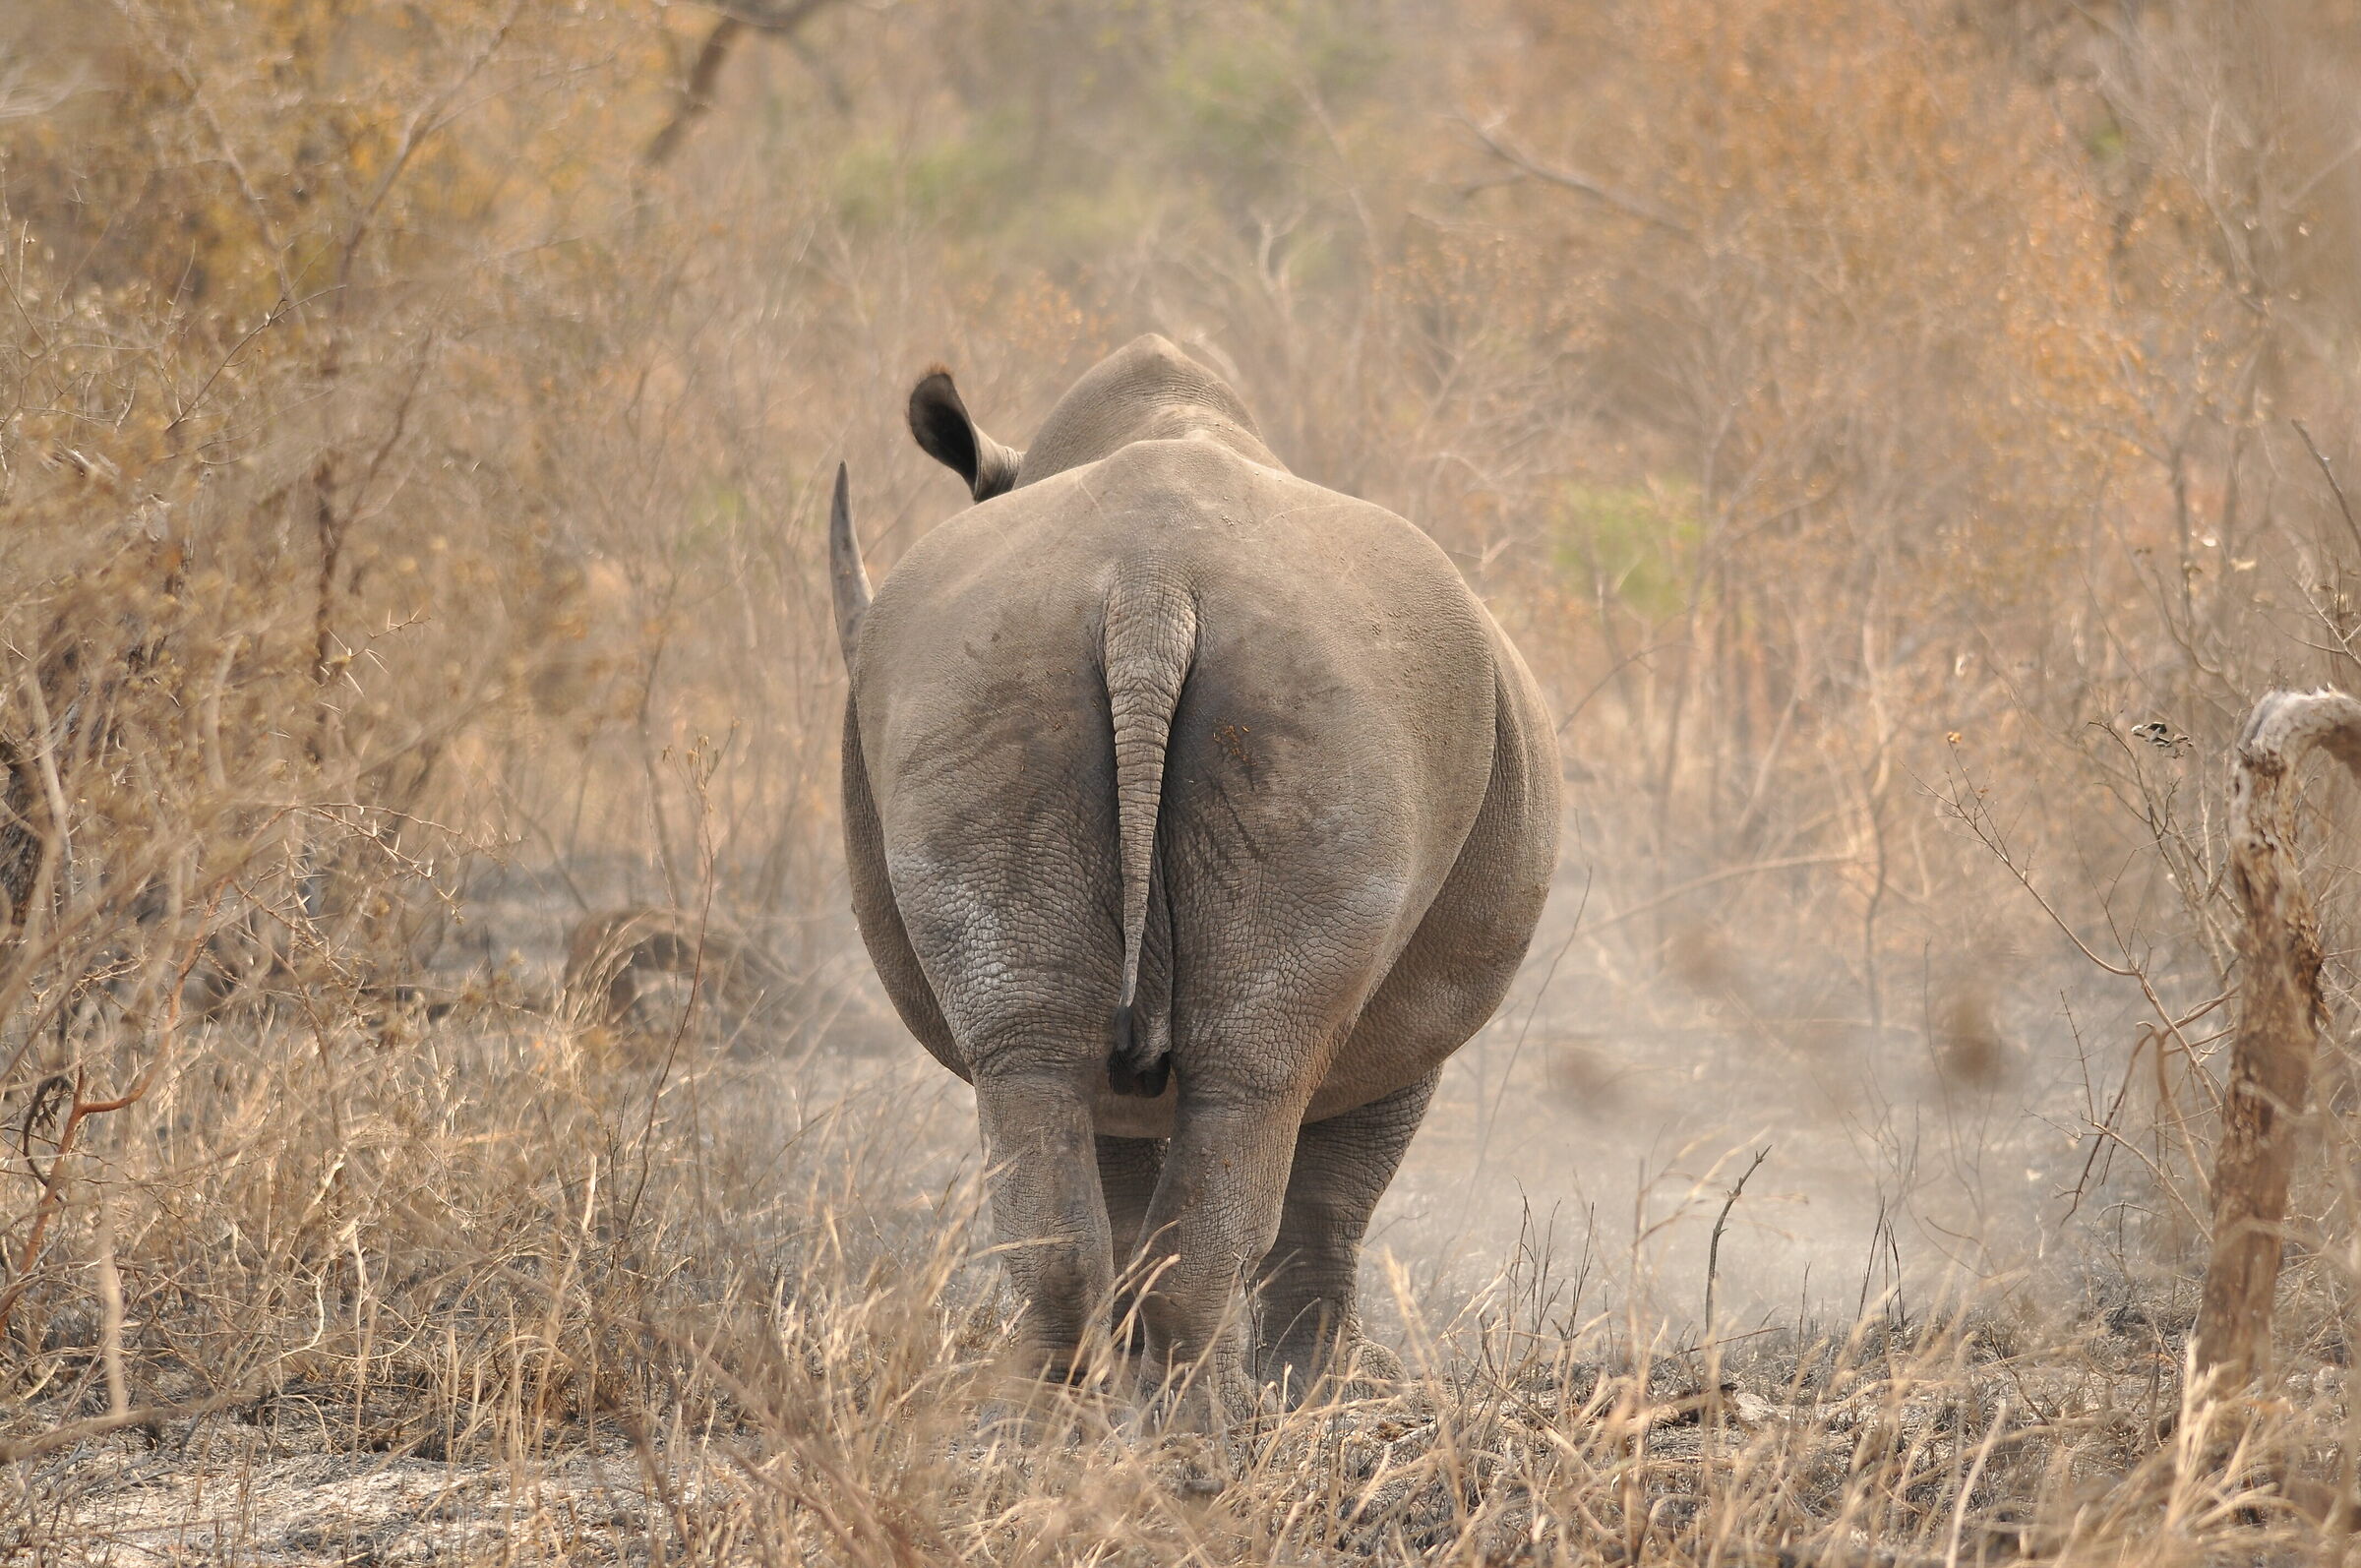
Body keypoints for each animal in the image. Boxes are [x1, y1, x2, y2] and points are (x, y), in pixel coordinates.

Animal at [829, 336, 1559, 1413]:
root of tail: (1150, 584)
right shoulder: (1409, 1031)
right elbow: (1330, 1200)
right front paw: (1313, 1397)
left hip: (988, 682)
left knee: (1035, 1058)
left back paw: (1059, 1425)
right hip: (1329, 707)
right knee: (1252, 1086)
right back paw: (1193, 1434)